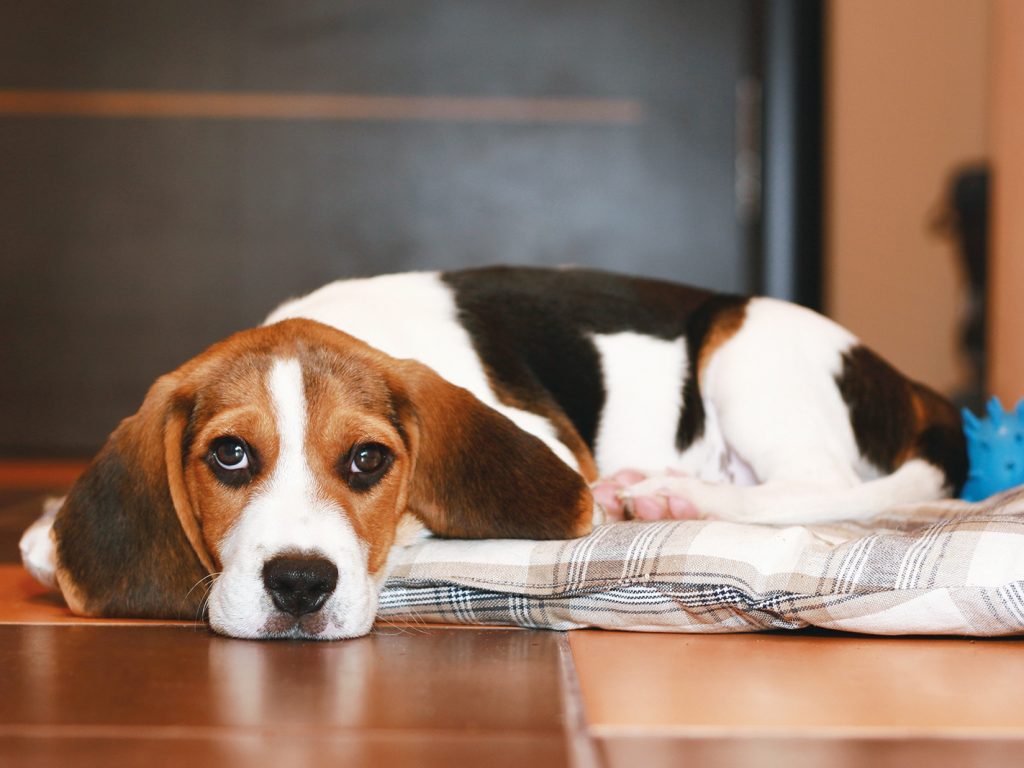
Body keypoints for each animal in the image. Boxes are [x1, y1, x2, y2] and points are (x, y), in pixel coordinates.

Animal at [25, 268, 966, 638]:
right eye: (228, 456)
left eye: (367, 462)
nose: (299, 585)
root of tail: (920, 389)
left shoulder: (550, 443)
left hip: (746, 343)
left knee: (816, 483)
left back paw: (666, 494)